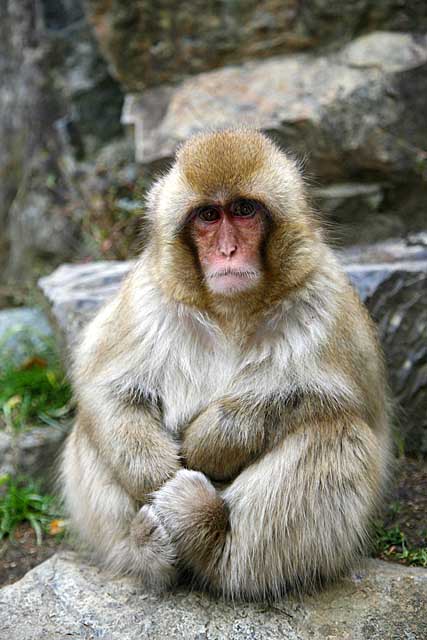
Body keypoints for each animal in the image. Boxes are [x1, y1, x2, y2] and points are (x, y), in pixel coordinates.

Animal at [61, 129, 392, 600]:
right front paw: (157, 474)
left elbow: (339, 400)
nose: (228, 250)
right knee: (88, 432)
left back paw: (211, 536)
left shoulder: (324, 298)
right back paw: (143, 549)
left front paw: (211, 441)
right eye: (207, 215)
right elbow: (103, 387)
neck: (231, 310)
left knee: (335, 431)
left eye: (243, 210)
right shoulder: (149, 297)